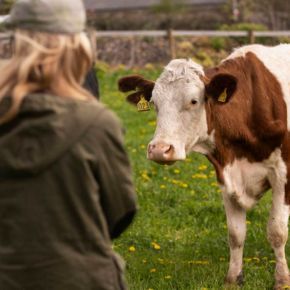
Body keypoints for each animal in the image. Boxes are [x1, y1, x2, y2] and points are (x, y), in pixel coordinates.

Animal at [117, 44, 290, 288]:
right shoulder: (226, 174)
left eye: (193, 101)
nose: (160, 149)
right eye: (154, 103)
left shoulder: (283, 174)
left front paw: (282, 280)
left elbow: (277, 231)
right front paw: (233, 278)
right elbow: (236, 233)